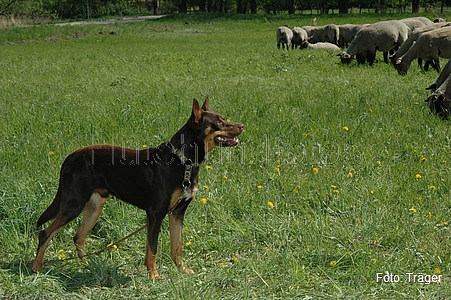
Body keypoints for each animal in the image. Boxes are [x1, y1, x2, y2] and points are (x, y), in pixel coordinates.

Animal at [32, 97, 244, 280]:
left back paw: (87, 265)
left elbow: (177, 247)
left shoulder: (177, 213)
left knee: (78, 237)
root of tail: (70, 158)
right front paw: (154, 276)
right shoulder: (156, 213)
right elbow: (153, 249)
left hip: (94, 207)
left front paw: (182, 270)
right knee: (45, 233)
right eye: (219, 122)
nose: (242, 126)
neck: (183, 162)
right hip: (73, 204)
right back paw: (37, 268)